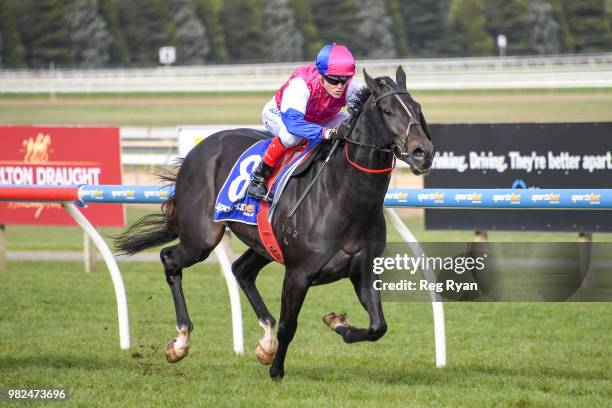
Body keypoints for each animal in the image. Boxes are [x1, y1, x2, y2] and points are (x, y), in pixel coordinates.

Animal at [116, 65, 436, 380]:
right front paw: (276, 371)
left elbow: (377, 326)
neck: (342, 198)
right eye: (388, 111)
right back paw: (181, 342)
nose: (423, 152)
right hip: (202, 237)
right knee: (170, 259)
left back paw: (265, 343)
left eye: (417, 108)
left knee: (241, 270)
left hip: (263, 243)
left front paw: (336, 322)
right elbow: (288, 326)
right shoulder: (297, 274)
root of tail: (197, 149)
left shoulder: (363, 271)